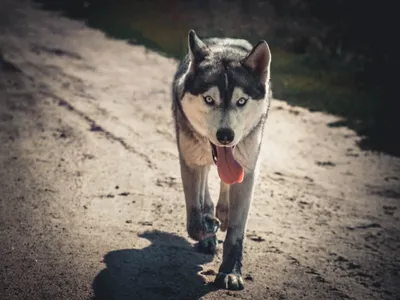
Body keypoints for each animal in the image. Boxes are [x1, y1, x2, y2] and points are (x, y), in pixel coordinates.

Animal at [172, 30, 272, 290]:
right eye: (209, 99)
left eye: (241, 101)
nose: (225, 136)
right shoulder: (189, 161)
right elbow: (194, 214)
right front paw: (206, 226)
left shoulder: (247, 171)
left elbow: (236, 233)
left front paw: (230, 272)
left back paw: (223, 213)